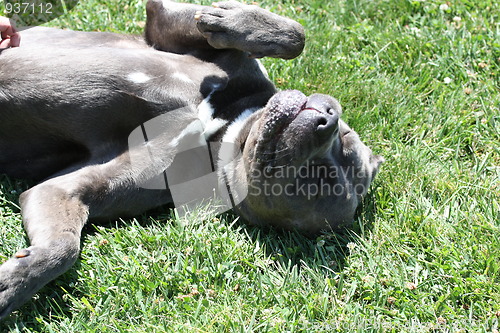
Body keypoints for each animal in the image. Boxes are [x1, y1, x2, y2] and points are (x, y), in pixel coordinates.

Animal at [0, 0, 382, 318]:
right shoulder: (165, 27)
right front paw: (230, 18)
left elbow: (64, 246)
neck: (221, 131)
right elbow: (296, 35)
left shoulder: (66, 189)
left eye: (317, 180)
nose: (327, 119)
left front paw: (13, 284)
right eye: (345, 140)